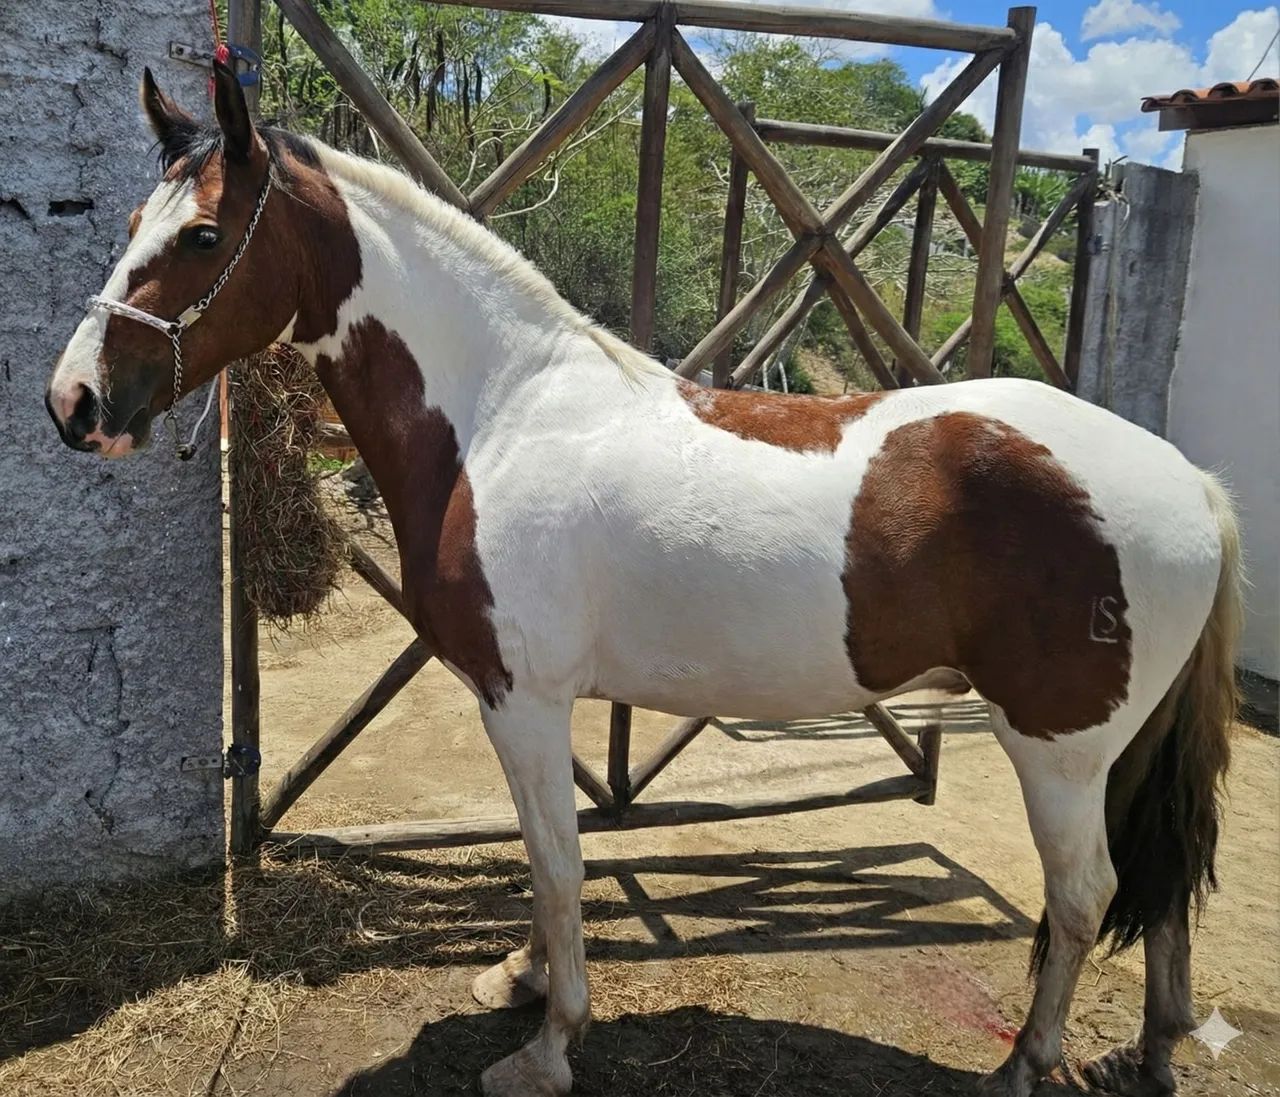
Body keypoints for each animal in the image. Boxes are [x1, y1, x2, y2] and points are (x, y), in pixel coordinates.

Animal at [46, 63, 1241, 1097]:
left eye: (203, 235)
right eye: (131, 225)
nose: (75, 401)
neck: (499, 411)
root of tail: (1189, 481)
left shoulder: (522, 698)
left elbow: (558, 862)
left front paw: (547, 1044)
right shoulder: (526, 702)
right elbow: (540, 857)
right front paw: (521, 978)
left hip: (1058, 746)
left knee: (1085, 894)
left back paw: (1023, 1064)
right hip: (1119, 747)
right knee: (1164, 890)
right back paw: (1150, 1050)